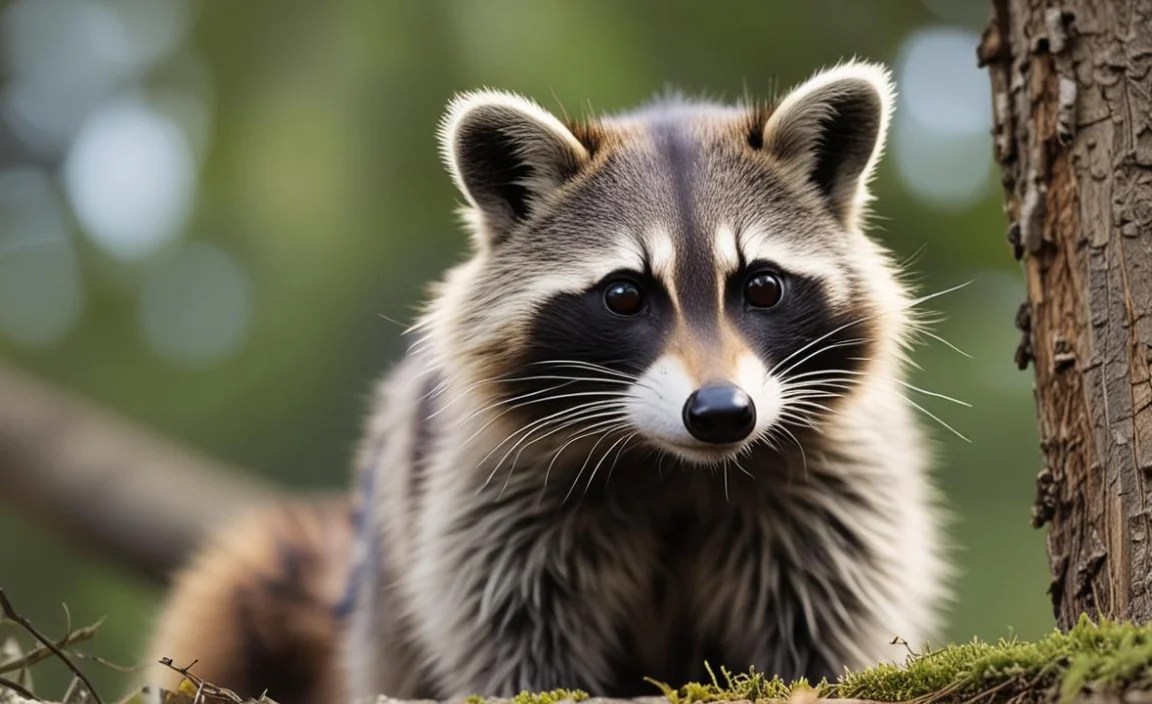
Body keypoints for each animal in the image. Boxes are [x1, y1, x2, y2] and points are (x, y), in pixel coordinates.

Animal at [148, 61, 948, 704]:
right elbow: (511, 635)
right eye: (624, 294)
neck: (673, 465)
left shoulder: (836, 487)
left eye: (762, 287)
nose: (722, 412)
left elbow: (826, 622)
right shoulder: (488, 492)